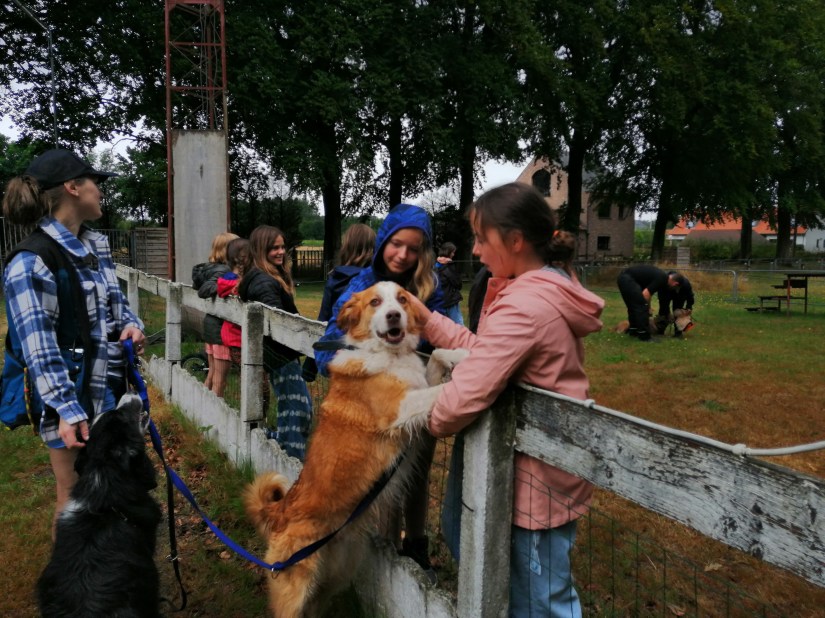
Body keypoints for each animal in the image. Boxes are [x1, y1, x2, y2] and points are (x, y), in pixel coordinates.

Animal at [244, 281, 467, 618]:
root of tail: (281, 510)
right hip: (295, 589)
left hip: (337, 573)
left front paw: (460, 353)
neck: (388, 354)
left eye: (402, 299)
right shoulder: (400, 408)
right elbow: (441, 390)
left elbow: (437, 355)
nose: (393, 315)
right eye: (375, 302)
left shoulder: (415, 389)